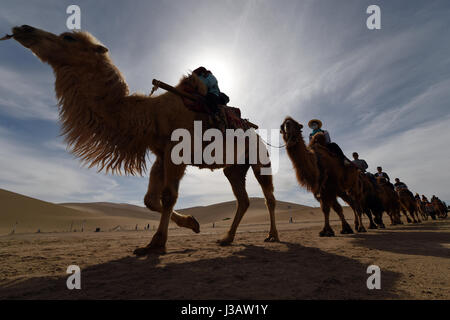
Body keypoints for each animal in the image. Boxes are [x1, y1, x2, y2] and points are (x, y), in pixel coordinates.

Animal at [8, 25, 280, 255]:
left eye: (68, 37)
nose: (24, 29)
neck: (150, 115)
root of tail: (256, 133)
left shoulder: (177, 152)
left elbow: (168, 196)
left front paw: (156, 244)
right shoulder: (161, 154)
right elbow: (150, 200)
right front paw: (192, 223)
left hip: (260, 158)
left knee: (269, 197)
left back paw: (272, 236)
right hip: (234, 168)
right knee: (243, 200)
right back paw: (227, 238)